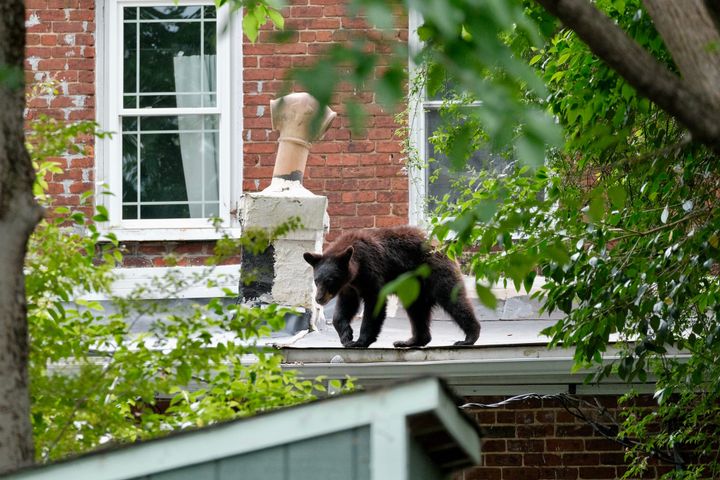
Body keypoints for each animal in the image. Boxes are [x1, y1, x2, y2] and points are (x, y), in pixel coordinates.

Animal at [303, 226, 481, 348]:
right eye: (316, 280)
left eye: (330, 280)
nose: (319, 298)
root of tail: (442, 246)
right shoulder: (350, 287)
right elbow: (344, 308)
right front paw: (347, 335)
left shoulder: (371, 272)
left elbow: (374, 303)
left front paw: (360, 341)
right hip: (415, 289)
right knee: (417, 311)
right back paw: (410, 341)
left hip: (436, 272)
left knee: (453, 299)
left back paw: (469, 337)